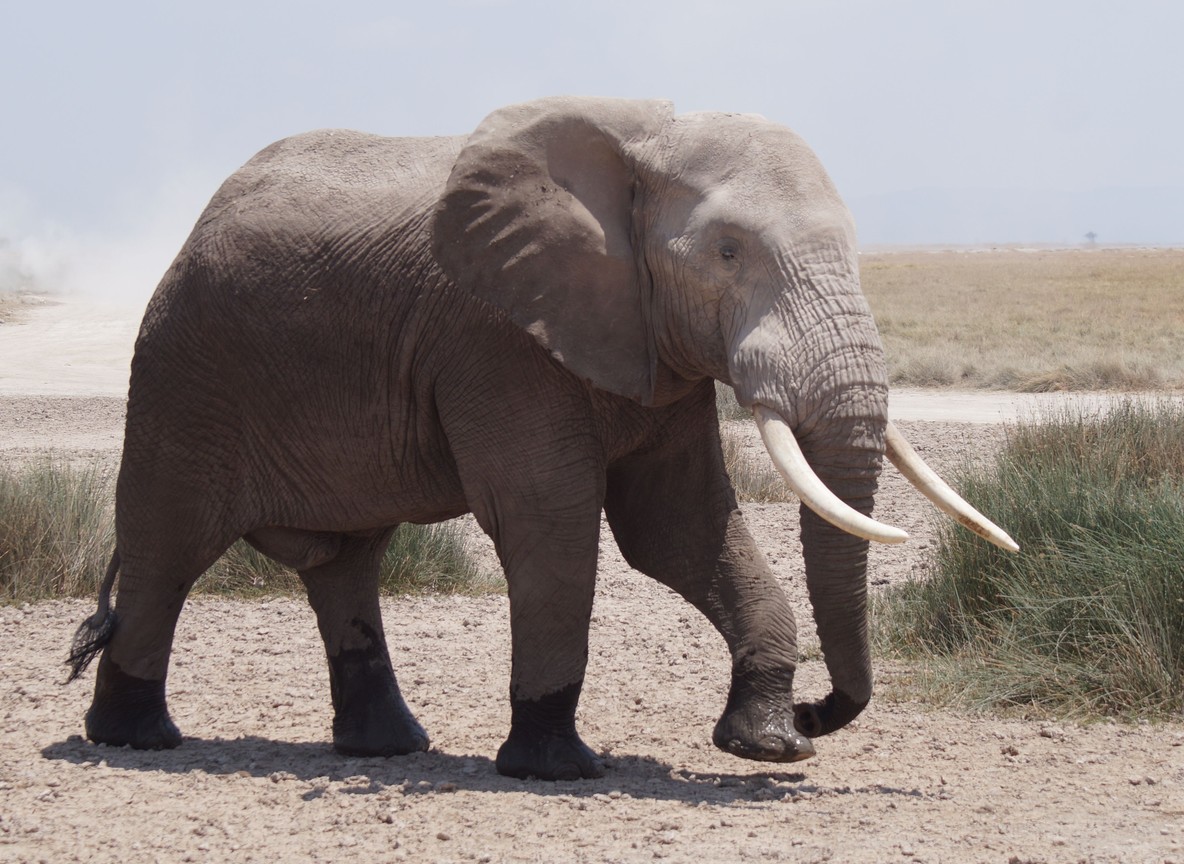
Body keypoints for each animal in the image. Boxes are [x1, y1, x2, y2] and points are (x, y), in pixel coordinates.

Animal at [66, 96, 1016, 781]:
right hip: (184, 375)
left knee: (345, 562)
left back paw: (388, 748)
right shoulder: (497, 338)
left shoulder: (650, 346)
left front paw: (769, 746)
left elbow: (679, 526)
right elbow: (550, 517)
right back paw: (134, 740)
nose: (823, 709)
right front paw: (557, 767)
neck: (646, 140)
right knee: (166, 550)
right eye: (728, 252)